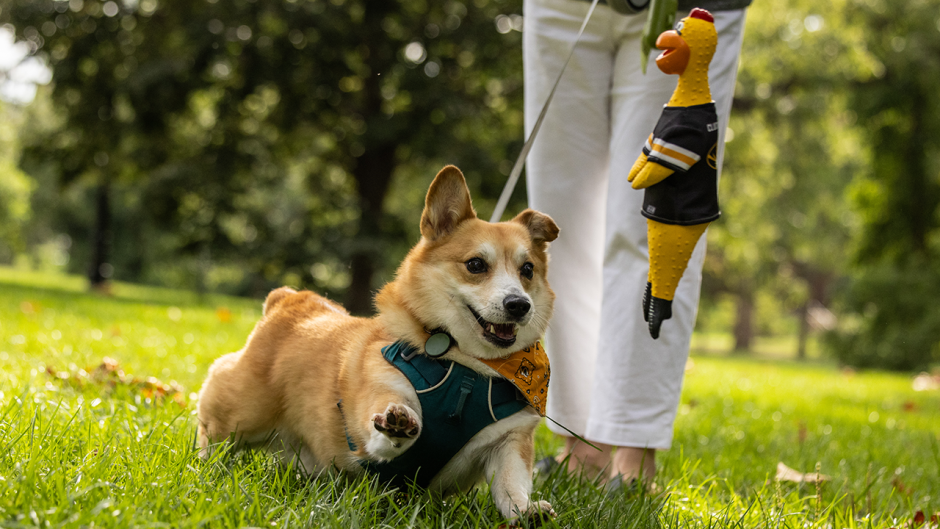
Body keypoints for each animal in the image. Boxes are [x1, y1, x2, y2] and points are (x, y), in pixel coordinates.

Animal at [194, 165, 556, 520]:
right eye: (476, 264)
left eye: (527, 270)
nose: (519, 305)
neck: (467, 367)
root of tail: (289, 300)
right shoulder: (376, 402)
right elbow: (385, 430)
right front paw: (399, 424)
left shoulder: (509, 441)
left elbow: (511, 485)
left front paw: (526, 511)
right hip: (240, 415)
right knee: (213, 430)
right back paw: (205, 467)